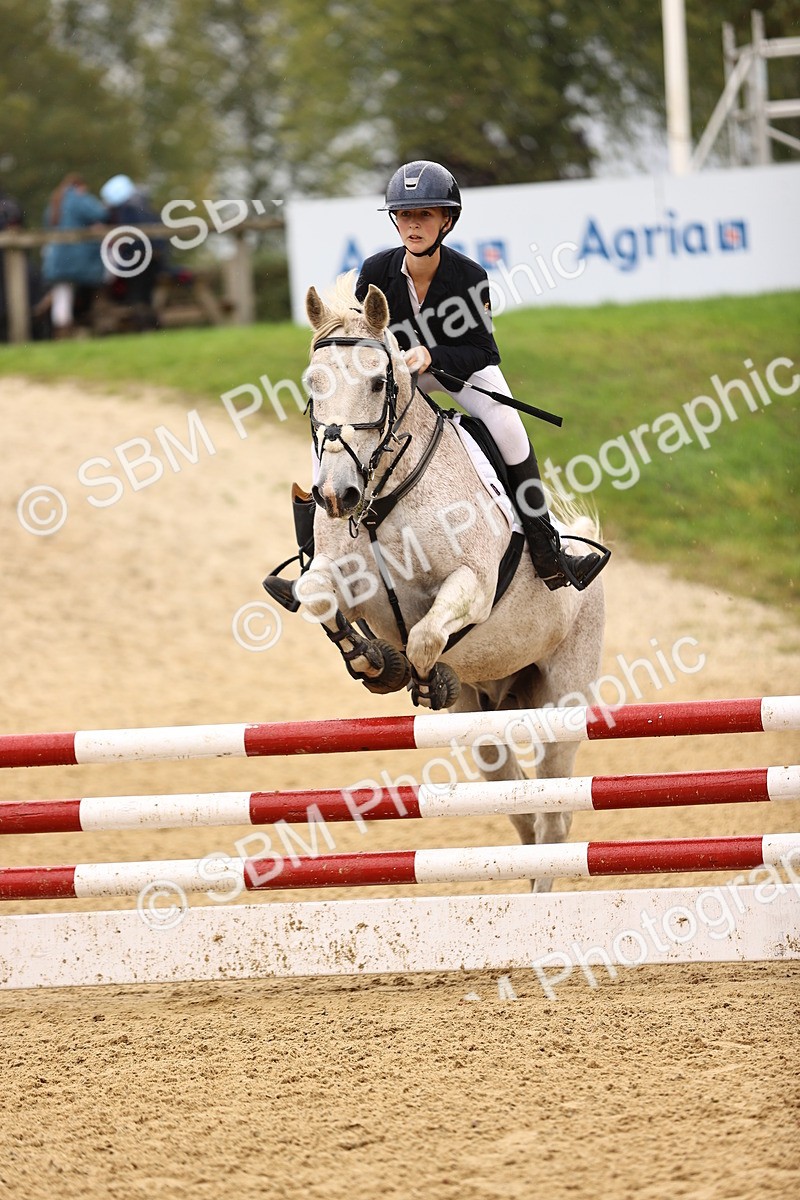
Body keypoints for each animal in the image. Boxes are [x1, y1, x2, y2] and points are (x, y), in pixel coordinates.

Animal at [290, 273, 606, 891]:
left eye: (377, 381)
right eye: (313, 386)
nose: (336, 496)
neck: (383, 497)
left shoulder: (473, 585)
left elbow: (426, 637)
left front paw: (421, 676)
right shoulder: (340, 581)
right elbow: (317, 599)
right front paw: (372, 662)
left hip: (563, 699)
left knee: (553, 820)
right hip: (485, 718)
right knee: (522, 811)